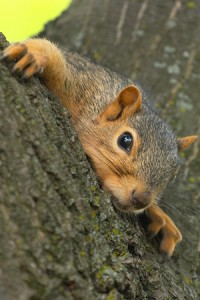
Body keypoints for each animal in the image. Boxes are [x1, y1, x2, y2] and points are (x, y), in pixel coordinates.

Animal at [1, 38, 198, 256]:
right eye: (125, 141)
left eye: (173, 174)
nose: (141, 199)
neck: (98, 102)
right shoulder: (78, 84)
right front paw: (32, 54)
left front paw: (159, 215)